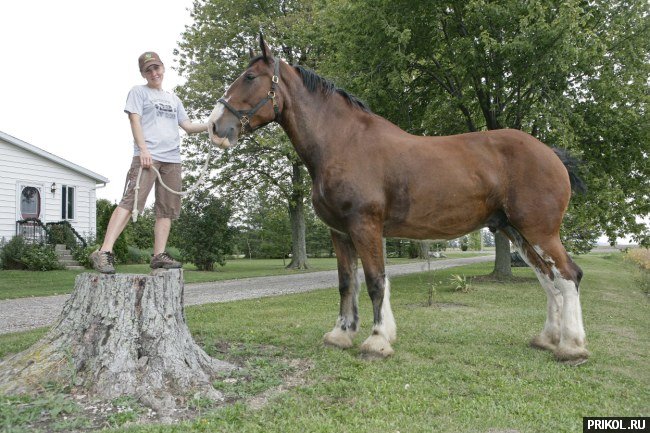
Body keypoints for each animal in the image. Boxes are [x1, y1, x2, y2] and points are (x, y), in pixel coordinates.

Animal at [207, 34, 589, 365]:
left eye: (249, 77)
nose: (215, 127)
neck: (343, 143)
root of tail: (551, 154)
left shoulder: (365, 226)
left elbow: (376, 282)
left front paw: (376, 341)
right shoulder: (340, 233)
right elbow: (347, 284)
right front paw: (341, 335)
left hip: (539, 231)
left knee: (569, 276)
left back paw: (571, 347)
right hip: (517, 232)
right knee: (549, 281)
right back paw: (547, 339)